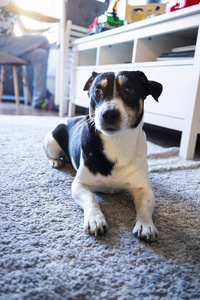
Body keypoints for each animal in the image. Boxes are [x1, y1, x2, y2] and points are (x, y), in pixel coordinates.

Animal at [43, 69, 162, 241]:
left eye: (129, 89)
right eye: (97, 90)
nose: (109, 114)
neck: (116, 143)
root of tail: (69, 119)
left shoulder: (143, 188)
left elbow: (145, 205)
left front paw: (145, 224)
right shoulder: (79, 185)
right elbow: (91, 199)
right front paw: (95, 219)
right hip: (52, 142)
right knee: (50, 154)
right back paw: (55, 162)